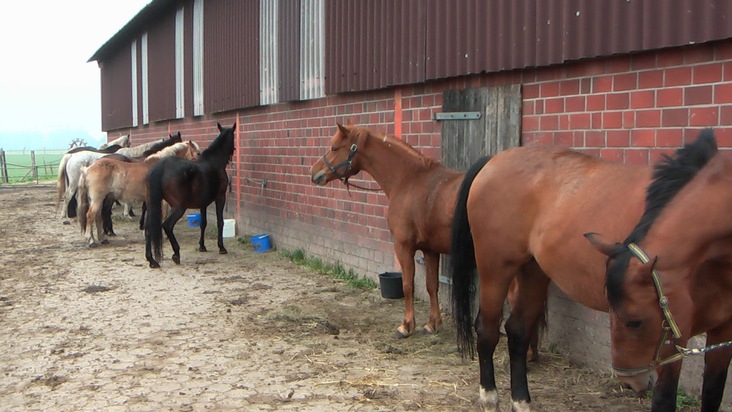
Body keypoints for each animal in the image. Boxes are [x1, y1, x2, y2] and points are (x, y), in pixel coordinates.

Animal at [588, 130, 732, 412]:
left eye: (635, 322)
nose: (629, 383)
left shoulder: (723, 331)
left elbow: (712, 392)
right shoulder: (675, 339)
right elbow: (665, 398)